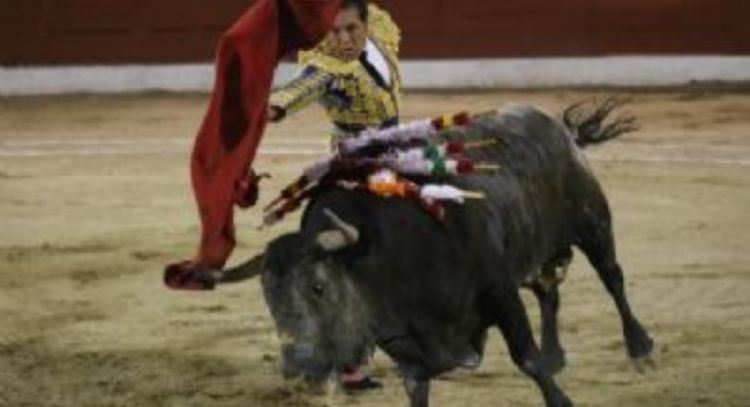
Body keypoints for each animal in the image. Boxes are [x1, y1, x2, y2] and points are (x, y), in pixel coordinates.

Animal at [222, 102, 652, 407]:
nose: (299, 370)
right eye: (269, 298)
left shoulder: (498, 290)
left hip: (593, 222)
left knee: (612, 278)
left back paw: (640, 349)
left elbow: (525, 357)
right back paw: (556, 355)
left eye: (318, 286)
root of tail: (557, 128)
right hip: (534, 248)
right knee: (549, 290)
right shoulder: (407, 347)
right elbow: (416, 388)